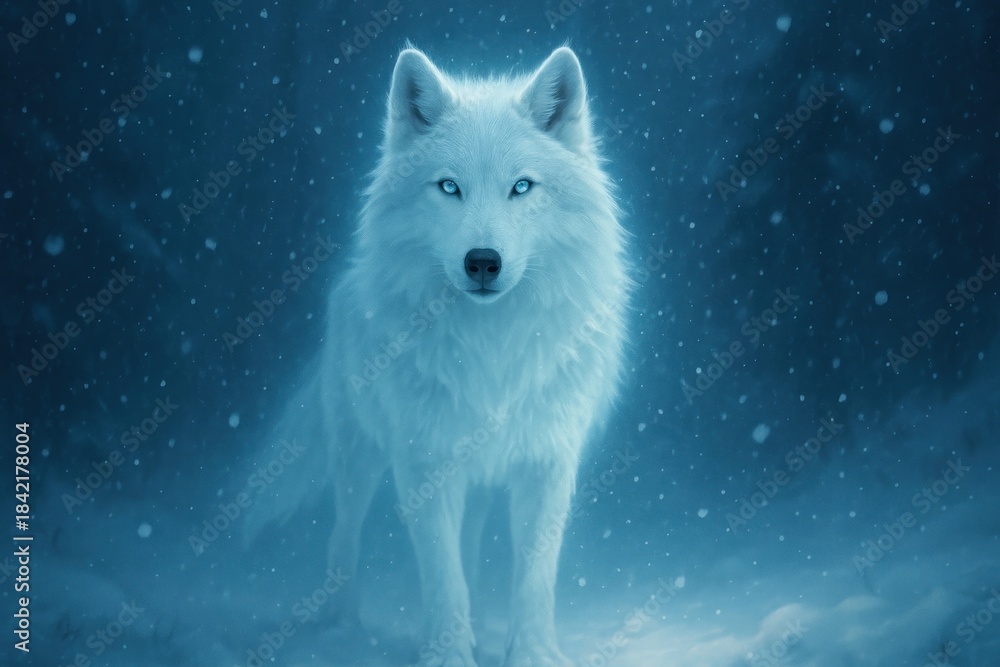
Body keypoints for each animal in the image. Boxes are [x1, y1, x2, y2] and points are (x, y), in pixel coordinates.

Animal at [249, 46, 630, 666]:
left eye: (521, 187)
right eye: (449, 187)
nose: (483, 261)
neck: (494, 347)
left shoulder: (546, 460)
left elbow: (533, 576)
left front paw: (531, 654)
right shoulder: (423, 461)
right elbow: (441, 573)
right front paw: (448, 655)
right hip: (358, 456)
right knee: (344, 534)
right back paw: (338, 625)